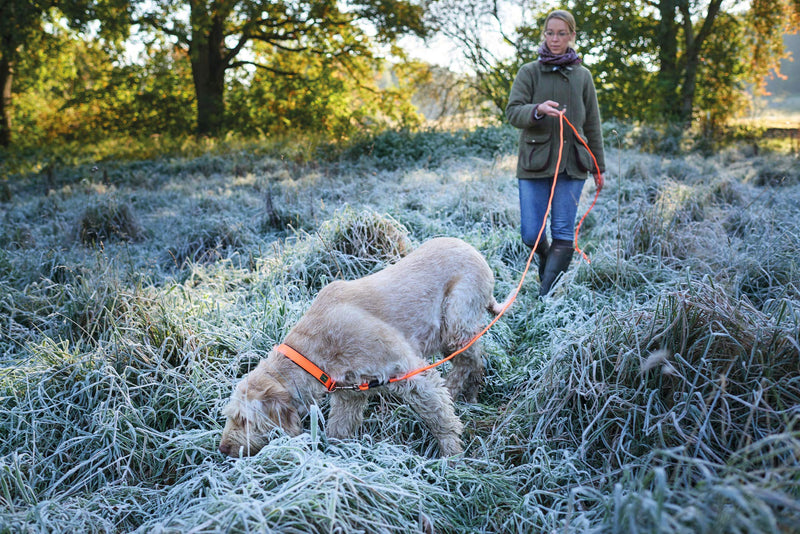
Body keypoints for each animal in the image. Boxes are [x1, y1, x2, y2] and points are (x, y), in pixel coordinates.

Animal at [219, 237, 506, 458]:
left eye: (245, 420)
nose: (223, 449)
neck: (314, 350)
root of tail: (474, 250)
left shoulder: (410, 372)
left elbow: (439, 417)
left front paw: (452, 456)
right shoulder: (350, 394)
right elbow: (339, 429)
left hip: (456, 324)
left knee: (469, 361)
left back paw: (456, 391)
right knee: (475, 359)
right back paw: (470, 395)